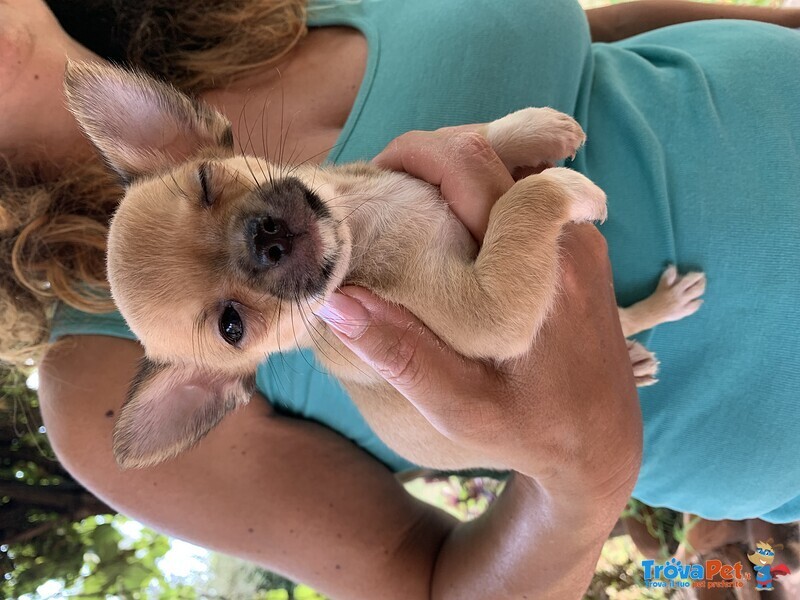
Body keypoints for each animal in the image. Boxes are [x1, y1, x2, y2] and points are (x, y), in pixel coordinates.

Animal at [65, 63, 704, 472]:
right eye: (231, 326)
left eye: (205, 183)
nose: (263, 240)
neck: (362, 223)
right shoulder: (488, 318)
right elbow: (523, 207)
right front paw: (566, 189)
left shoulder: (403, 162)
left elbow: (470, 136)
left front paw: (534, 127)